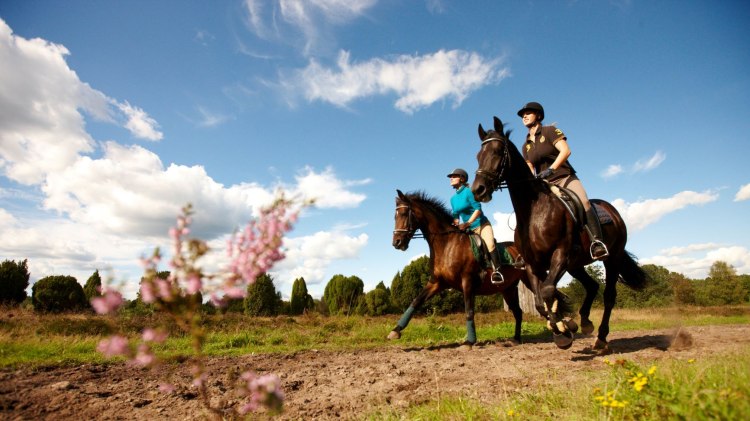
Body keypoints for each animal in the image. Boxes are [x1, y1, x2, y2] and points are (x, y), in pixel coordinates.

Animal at [472, 115, 648, 352]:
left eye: (498, 151)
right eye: (478, 155)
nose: (478, 190)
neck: (534, 212)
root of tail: (612, 210)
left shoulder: (560, 254)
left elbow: (548, 291)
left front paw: (563, 332)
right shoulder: (532, 264)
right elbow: (540, 302)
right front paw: (564, 327)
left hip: (612, 257)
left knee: (609, 296)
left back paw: (601, 338)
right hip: (576, 264)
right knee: (592, 286)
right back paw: (585, 322)